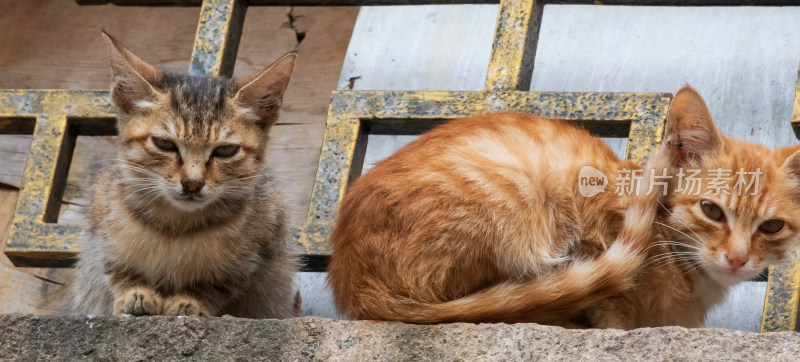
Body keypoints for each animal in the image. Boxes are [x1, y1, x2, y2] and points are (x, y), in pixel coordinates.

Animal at [68, 32, 296, 318]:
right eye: (165, 144)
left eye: (225, 150)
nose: (192, 183)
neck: (176, 226)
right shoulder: (101, 234)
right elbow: (118, 270)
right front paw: (135, 294)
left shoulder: (253, 253)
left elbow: (215, 284)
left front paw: (190, 302)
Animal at [324, 85, 800, 328]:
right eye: (712, 210)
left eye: (772, 227)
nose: (738, 258)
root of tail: (352, 282)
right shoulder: (594, 218)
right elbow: (611, 303)